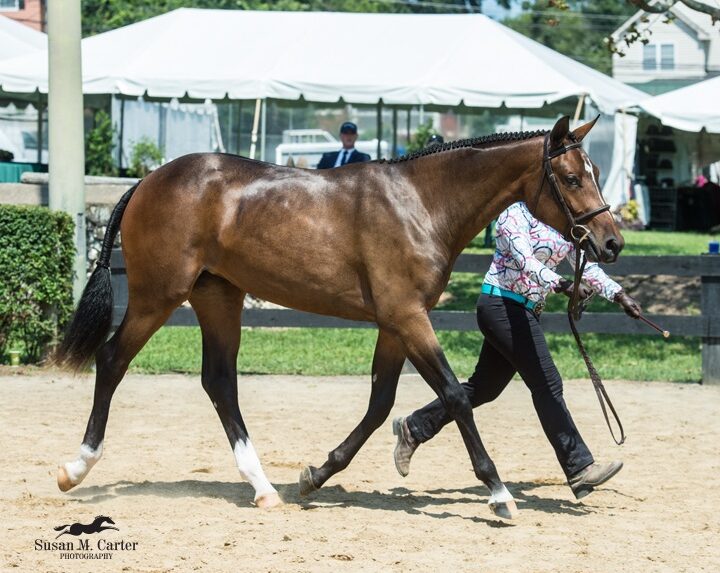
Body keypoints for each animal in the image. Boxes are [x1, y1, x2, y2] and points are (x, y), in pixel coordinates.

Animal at [53, 116, 620, 520]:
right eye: (572, 177)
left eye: (594, 173)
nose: (611, 243)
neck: (421, 203)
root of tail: (148, 180)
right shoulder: (408, 317)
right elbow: (455, 396)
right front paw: (499, 493)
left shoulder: (395, 323)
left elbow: (380, 404)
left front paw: (316, 475)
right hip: (158, 295)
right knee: (113, 359)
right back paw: (76, 468)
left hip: (219, 298)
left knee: (219, 382)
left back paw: (264, 488)